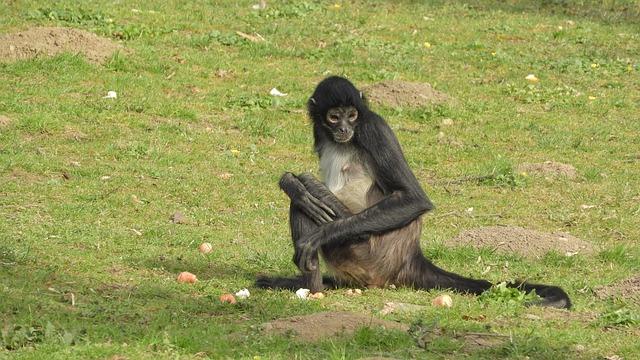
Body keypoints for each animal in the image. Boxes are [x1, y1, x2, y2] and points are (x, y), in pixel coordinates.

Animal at [258, 76, 572, 310]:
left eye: (352, 115)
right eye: (334, 117)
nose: (345, 128)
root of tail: (410, 257)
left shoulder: (372, 127)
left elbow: (413, 199)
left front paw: (314, 226)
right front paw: (288, 181)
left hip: (364, 252)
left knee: (307, 202)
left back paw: (312, 288)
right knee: (304, 201)